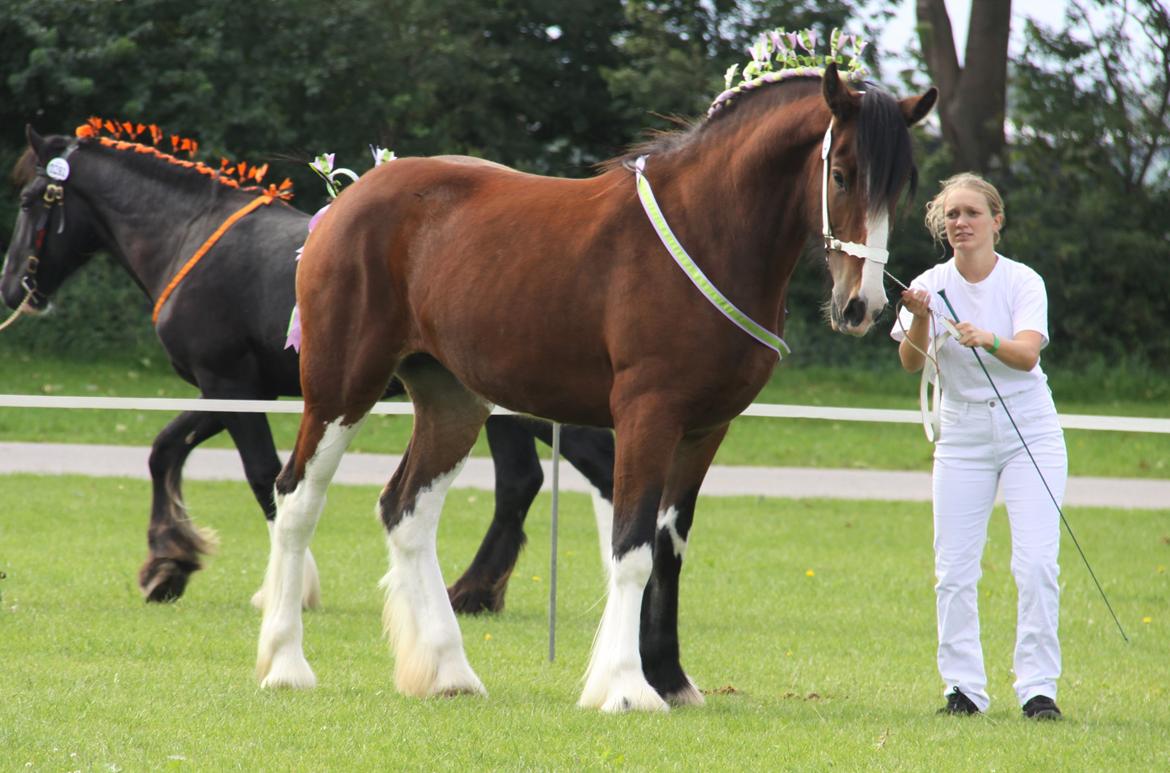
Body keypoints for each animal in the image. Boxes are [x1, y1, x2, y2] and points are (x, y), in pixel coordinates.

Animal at [0, 123, 617, 612]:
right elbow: (165, 449)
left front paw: (288, 588)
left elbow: (260, 473)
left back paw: (477, 593)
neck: (190, 233)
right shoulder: (231, 389)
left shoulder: (231, 384)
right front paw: (169, 563)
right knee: (545, 478)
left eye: (30, 199)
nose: (11, 288)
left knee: (548, 476)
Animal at [260, 63, 935, 706]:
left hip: (452, 402)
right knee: (296, 500)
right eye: (841, 175)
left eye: (901, 187)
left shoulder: (704, 430)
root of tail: (344, 203)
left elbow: (668, 549)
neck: (707, 233)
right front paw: (626, 686)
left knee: (408, 512)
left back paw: (450, 673)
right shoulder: (646, 417)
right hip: (342, 388)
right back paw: (286, 665)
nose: (862, 306)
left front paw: (670, 679)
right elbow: (632, 550)